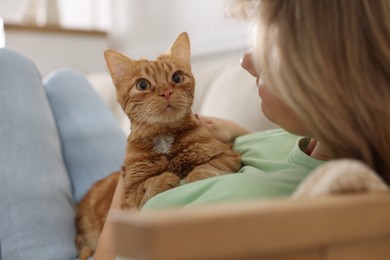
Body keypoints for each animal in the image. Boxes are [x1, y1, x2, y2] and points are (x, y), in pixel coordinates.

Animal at [75, 33, 242, 260]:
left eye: (177, 78)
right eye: (142, 85)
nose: (166, 92)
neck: (164, 137)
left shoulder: (227, 154)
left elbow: (206, 166)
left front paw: (198, 176)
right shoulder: (128, 198)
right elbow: (147, 184)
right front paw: (164, 178)